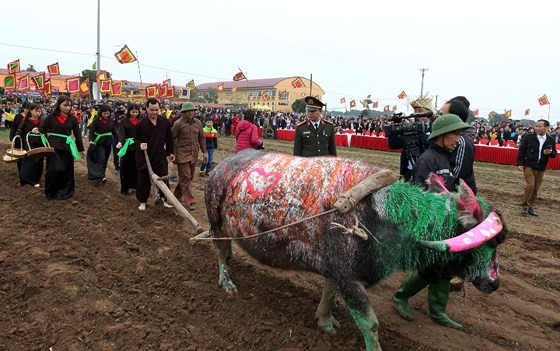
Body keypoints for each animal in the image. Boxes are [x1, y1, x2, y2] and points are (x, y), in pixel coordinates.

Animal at [206, 149, 508, 351]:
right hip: (217, 225)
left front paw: (325, 321)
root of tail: (221, 167)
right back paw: (226, 282)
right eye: (488, 242)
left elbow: (329, 293)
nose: (494, 282)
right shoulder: (350, 280)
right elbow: (370, 324)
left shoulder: (337, 272)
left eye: (498, 242)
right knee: (219, 254)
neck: (384, 214)